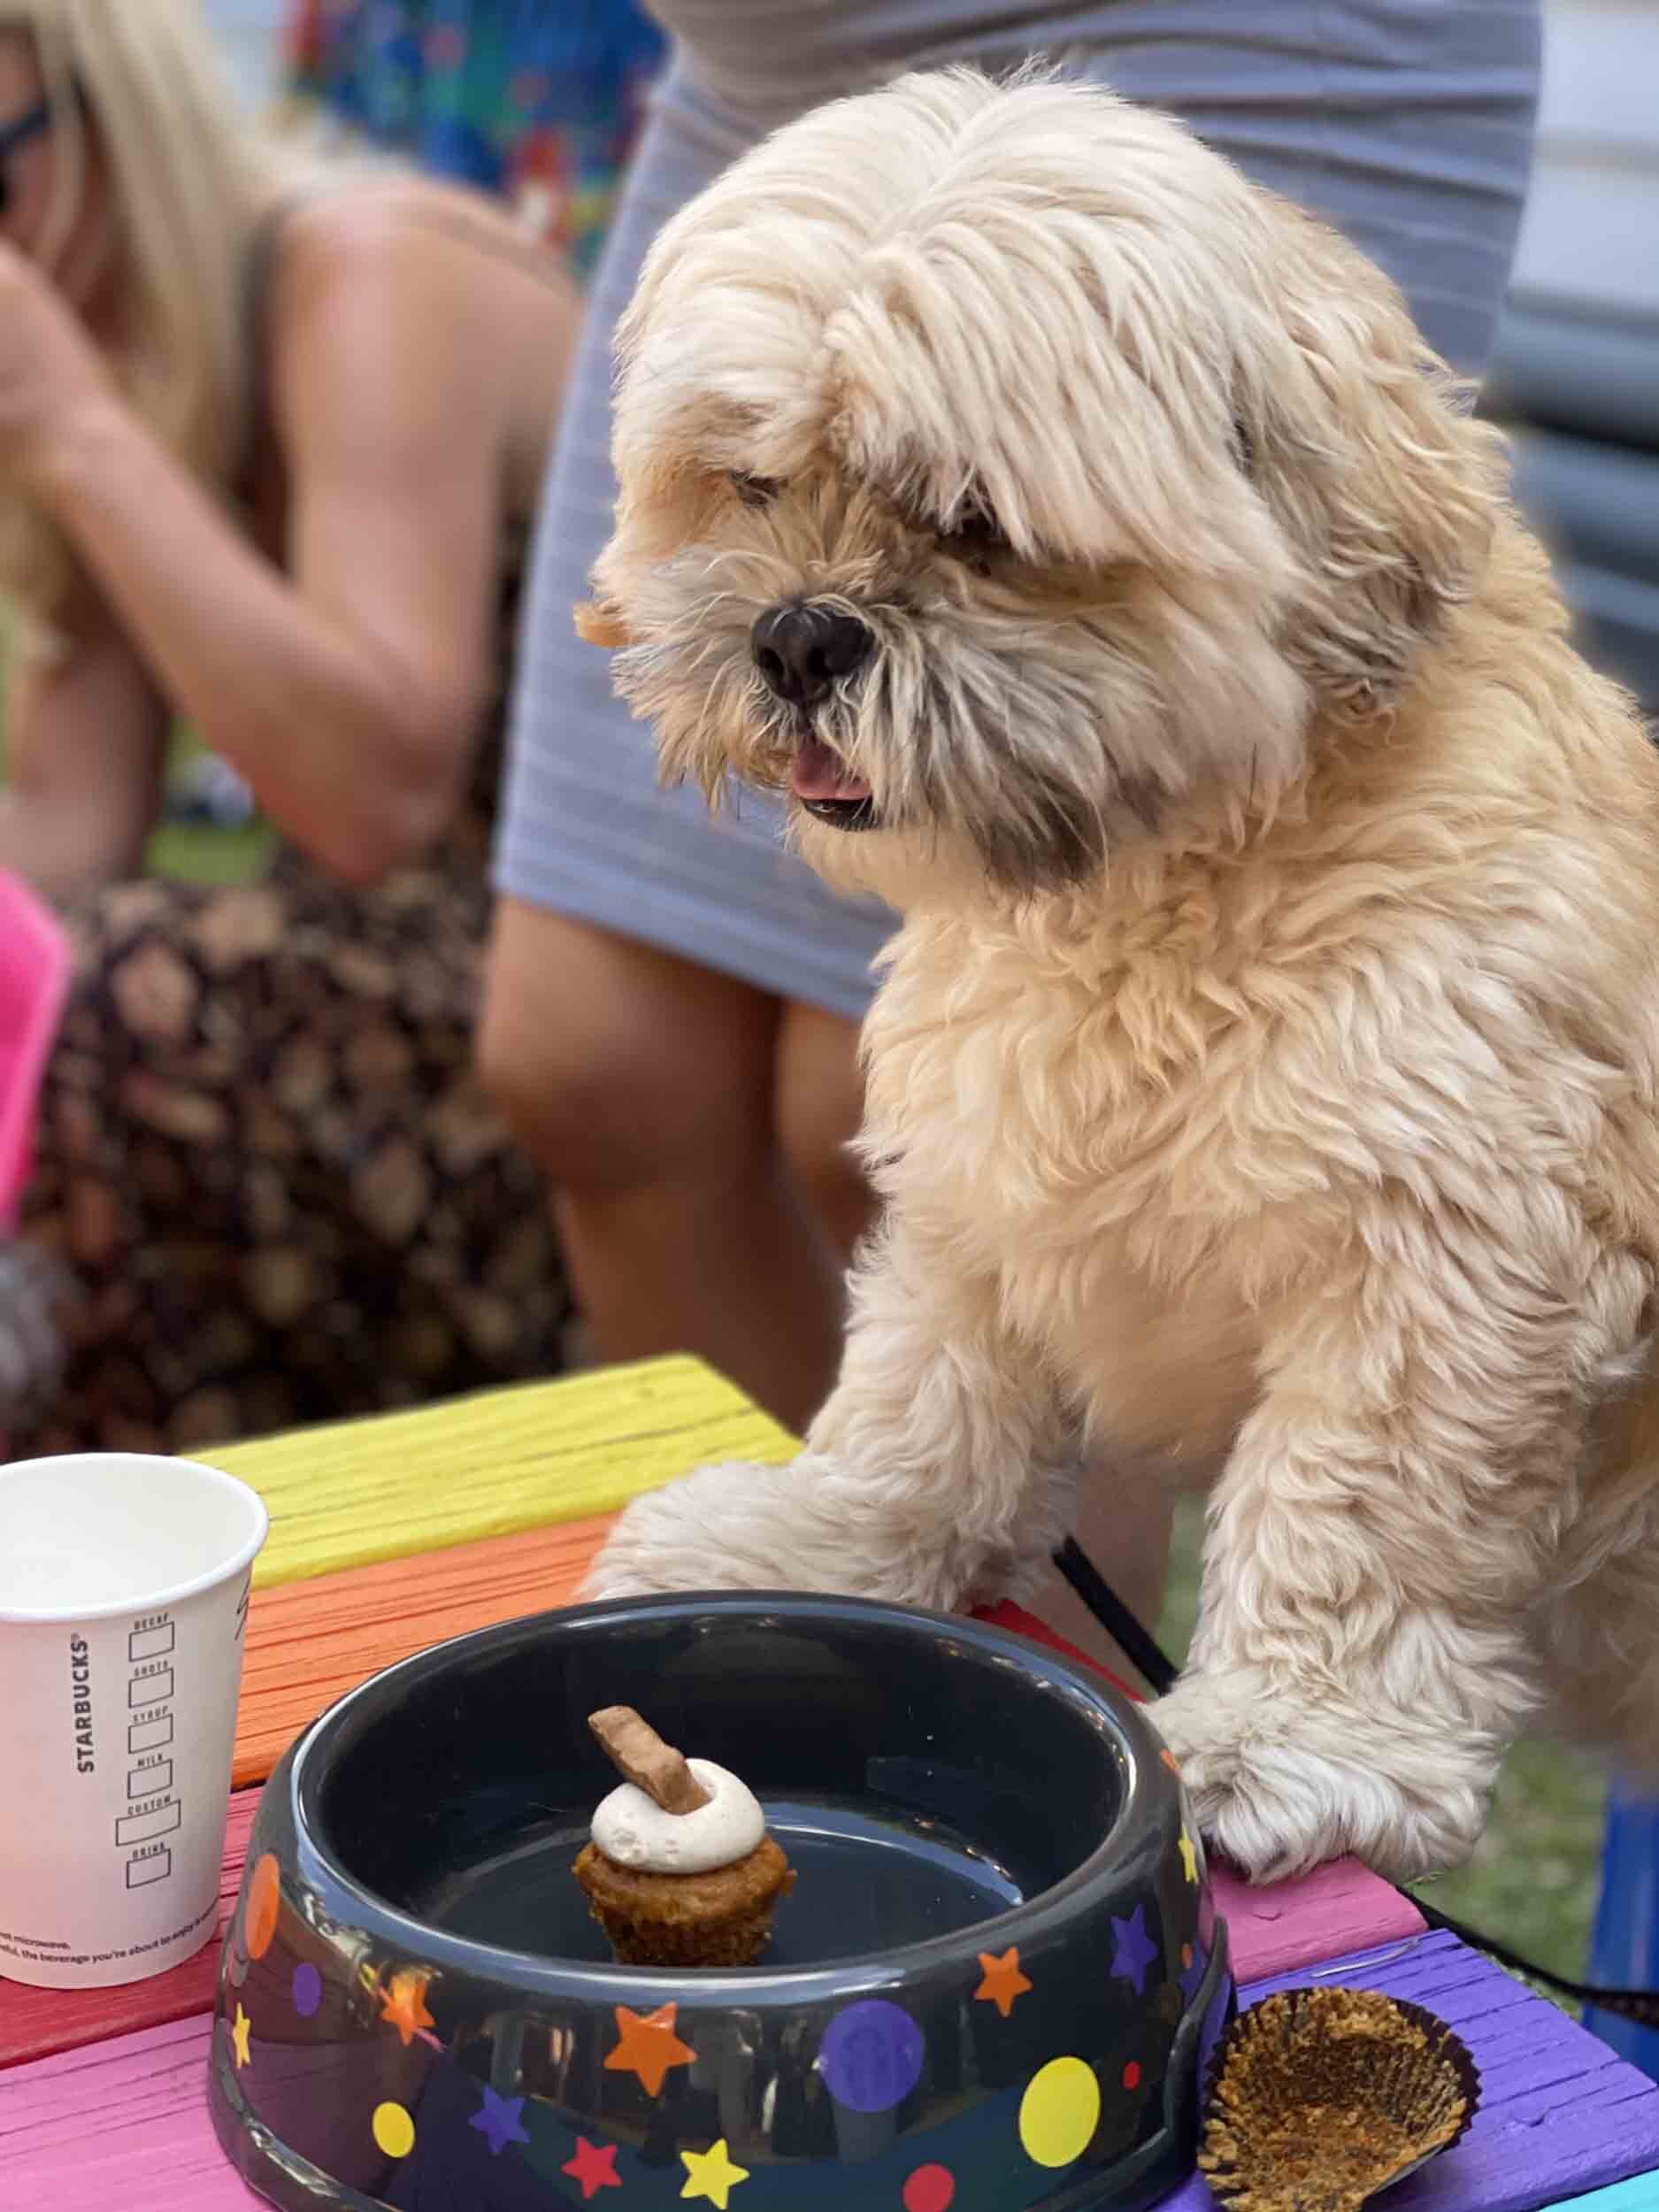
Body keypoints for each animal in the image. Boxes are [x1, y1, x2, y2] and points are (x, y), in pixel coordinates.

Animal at [571, 69, 1659, 1876]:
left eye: (975, 522)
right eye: (748, 483)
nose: (796, 635)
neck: (1162, 893)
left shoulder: (1448, 1256)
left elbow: (1360, 1503)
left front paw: (1291, 1730)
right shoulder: (984, 1179)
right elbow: (928, 1395)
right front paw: (819, 1534)